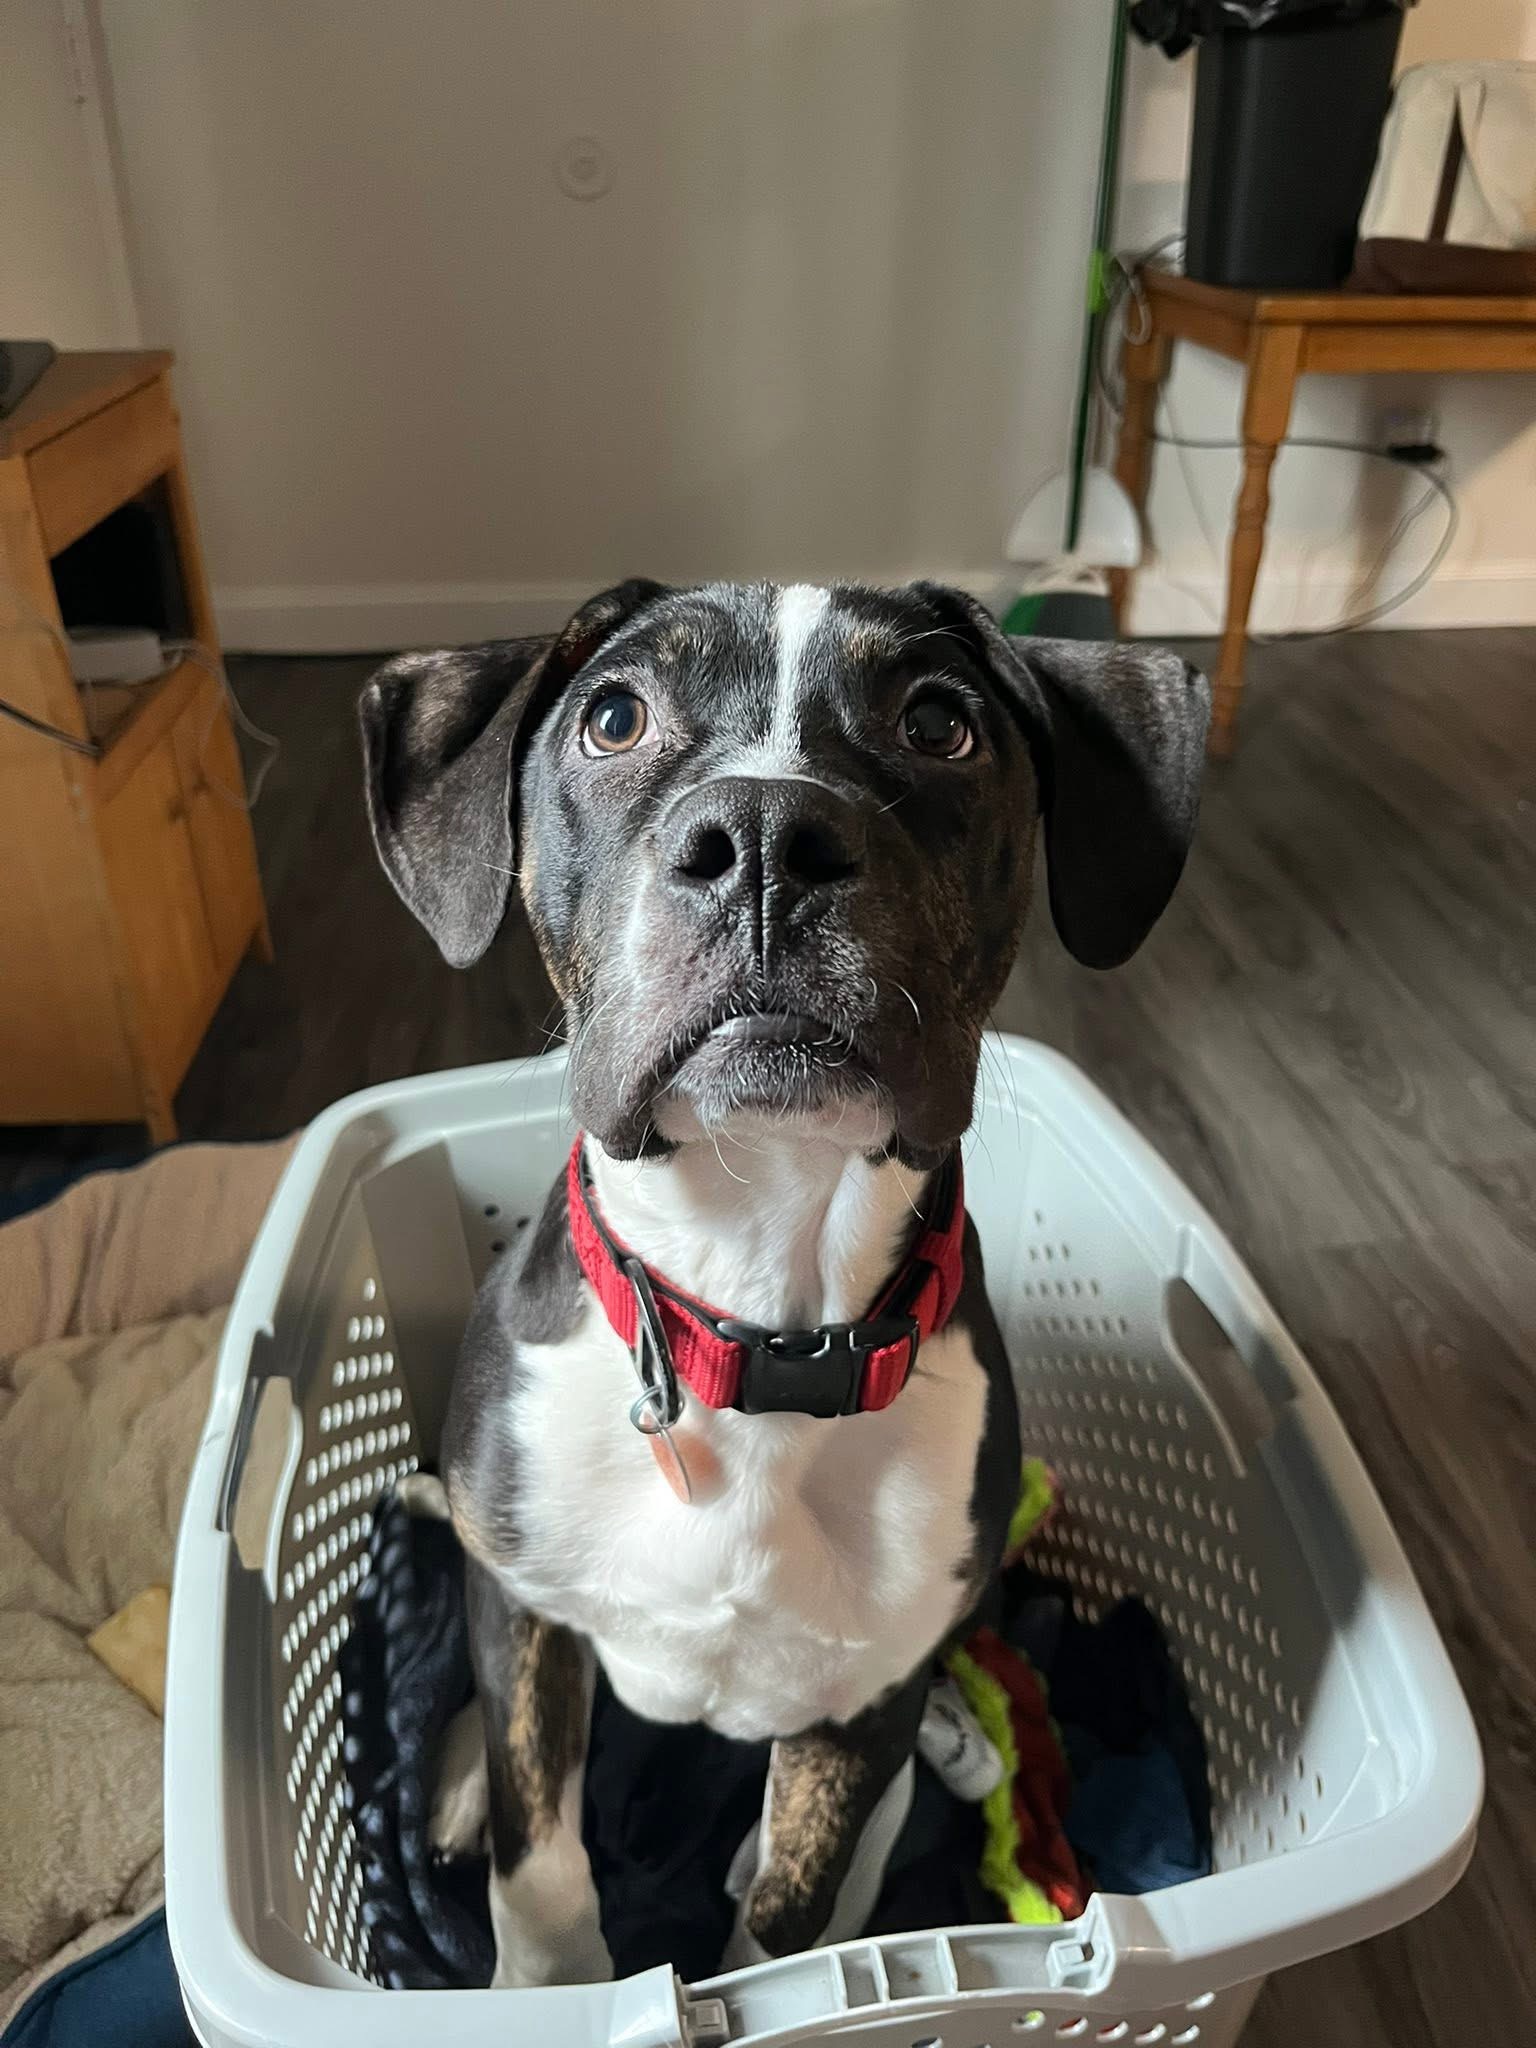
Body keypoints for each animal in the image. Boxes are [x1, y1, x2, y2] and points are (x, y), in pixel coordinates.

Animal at [360, 579, 1208, 1986]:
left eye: (938, 724)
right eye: (612, 717)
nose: (762, 834)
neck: (756, 1315)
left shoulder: (869, 1695)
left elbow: (793, 1916)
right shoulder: (522, 1605)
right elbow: (542, 1855)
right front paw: (549, 1981)